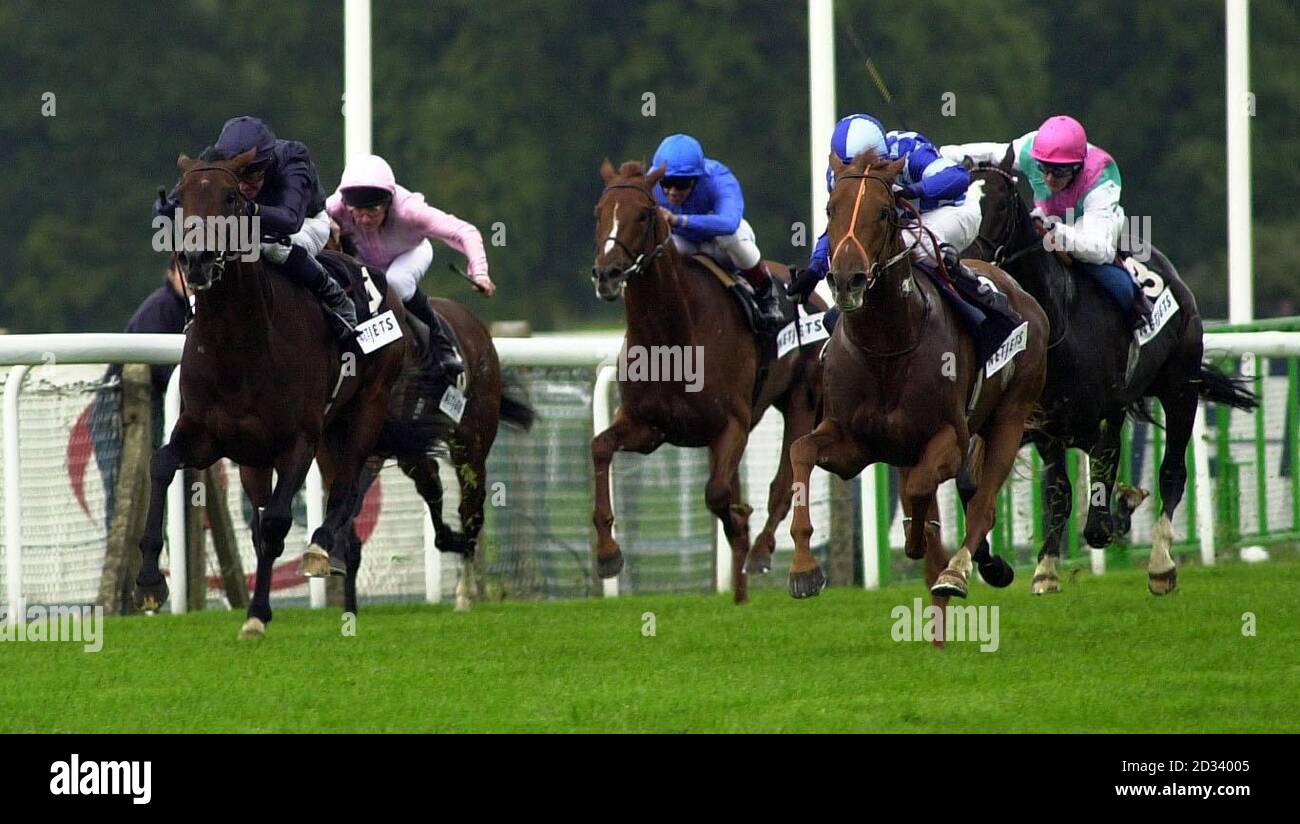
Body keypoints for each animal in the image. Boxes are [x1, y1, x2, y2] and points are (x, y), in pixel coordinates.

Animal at [137, 149, 439, 634]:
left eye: (230, 197)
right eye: (179, 199)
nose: (197, 258)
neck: (237, 344)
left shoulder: (297, 442)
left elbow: (278, 522)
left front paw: (258, 613)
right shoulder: (205, 433)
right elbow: (162, 464)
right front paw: (149, 580)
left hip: (366, 408)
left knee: (347, 485)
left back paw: (322, 549)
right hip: (272, 453)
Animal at [595, 157, 826, 600]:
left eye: (644, 213)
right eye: (599, 211)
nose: (607, 274)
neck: (671, 338)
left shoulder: (730, 424)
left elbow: (718, 493)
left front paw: (740, 523)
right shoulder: (648, 427)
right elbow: (600, 448)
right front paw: (607, 553)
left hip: (801, 401)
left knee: (784, 483)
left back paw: (764, 553)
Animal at [785, 150, 1050, 605]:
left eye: (884, 212)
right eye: (830, 208)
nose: (847, 279)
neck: (887, 344)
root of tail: (1021, 293)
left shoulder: (951, 437)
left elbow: (924, 486)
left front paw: (923, 545)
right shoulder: (851, 442)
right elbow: (801, 451)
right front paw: (804, 569)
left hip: (1012, 415)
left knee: (982, 503)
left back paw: (957, 571)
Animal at [972, 150, 1253, 592]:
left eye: (1001, 205)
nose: (969, 260)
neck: (1058, 322)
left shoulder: (1105, 420)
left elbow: (1098, 524)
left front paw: (1121, 510)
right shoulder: (1041, 428)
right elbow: (1056, 495)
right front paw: (1041, 569)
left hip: (1180, 389)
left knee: (1172, 471)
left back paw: (1160, 564)